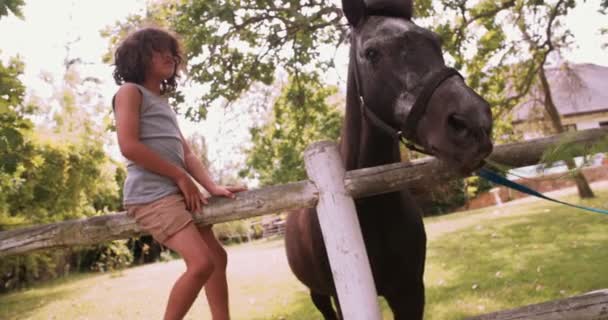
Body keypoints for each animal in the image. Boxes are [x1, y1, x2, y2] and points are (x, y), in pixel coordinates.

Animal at [284, 0, 494, 318]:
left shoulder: (410, 293)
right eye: (372, 53)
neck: (368, 207)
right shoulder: (343, 299)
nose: (474, 123)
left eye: (435, 41)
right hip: (317, 294)